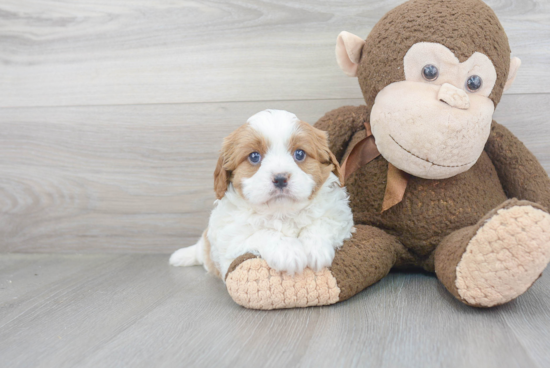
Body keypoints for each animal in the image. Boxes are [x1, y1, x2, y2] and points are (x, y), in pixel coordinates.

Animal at [170, 109, 356, 278]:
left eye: (299, 154)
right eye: (254, 156)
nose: (280, 178)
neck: (282, 213)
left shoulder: (338, 216)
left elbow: (322, 223)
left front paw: (315, 248)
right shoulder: (231, 243)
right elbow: (262, 233)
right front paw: (288, 251)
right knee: (199, 251)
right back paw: (181, 256)